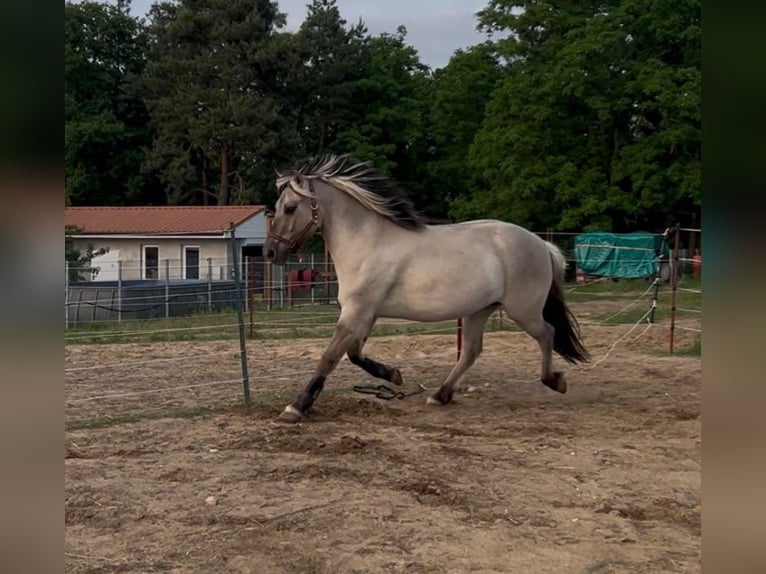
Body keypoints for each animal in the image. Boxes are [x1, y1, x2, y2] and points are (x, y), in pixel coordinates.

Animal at [263, 154, 590, 423]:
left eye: (290, 208)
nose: (269, 252)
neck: (367, 243)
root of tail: (542, 245)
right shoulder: (366, 313)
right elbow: (355, 354)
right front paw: (394, 376)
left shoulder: (357, 311)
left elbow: (330, 356)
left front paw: (296, 407)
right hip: (479, 310)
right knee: (471, 351)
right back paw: (440, 395)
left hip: (523, 310)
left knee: (547, 334)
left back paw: (555, 381)